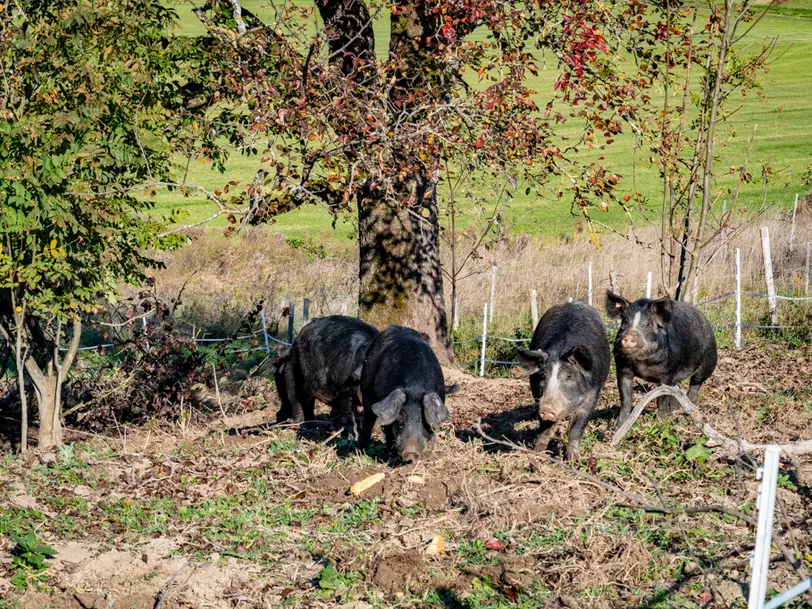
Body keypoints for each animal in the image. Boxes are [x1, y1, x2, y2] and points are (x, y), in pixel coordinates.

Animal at [360, 328, 456, 460]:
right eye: (401, 414)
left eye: (422, 416)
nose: (411, 451)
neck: (415, 387)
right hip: (365, 391)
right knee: (368, 420)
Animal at [520, 302, 608, 458]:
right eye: (542, 376)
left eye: (569, 376)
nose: (547, 408)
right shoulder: (537, 395)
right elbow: (545, 428)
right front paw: (538, 455)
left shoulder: (593, 392)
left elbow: (576, 428)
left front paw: (574, 460)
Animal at [608, 292, 716, 426]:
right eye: (625, 323)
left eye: (647, 324)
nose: (628, 337)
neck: (642, 363)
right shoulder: (622, 369)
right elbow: (625, 398)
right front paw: (619, 425)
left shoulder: (667, 373)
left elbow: (662, 398)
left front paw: (661, 421)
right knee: (677, 390)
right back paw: (675, 411)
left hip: (708, 362)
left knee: (695, 385)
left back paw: (688, 412)